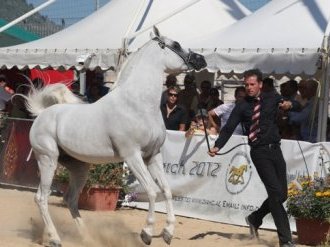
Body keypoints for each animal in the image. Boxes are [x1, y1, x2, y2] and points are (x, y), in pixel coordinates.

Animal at [25, 27, 206, 247]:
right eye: (176, 44)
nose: (201, 60)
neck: (137, 104)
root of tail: (42, 114)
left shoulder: (153, 155)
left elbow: (166, 190)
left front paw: (167, 233)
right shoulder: (132, 156)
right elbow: (152, 191)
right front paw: (146, 233)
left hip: (79, 167)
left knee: (70, 199)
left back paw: (86, 238)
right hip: (48, 159)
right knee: (41, 198)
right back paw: (54, 238)